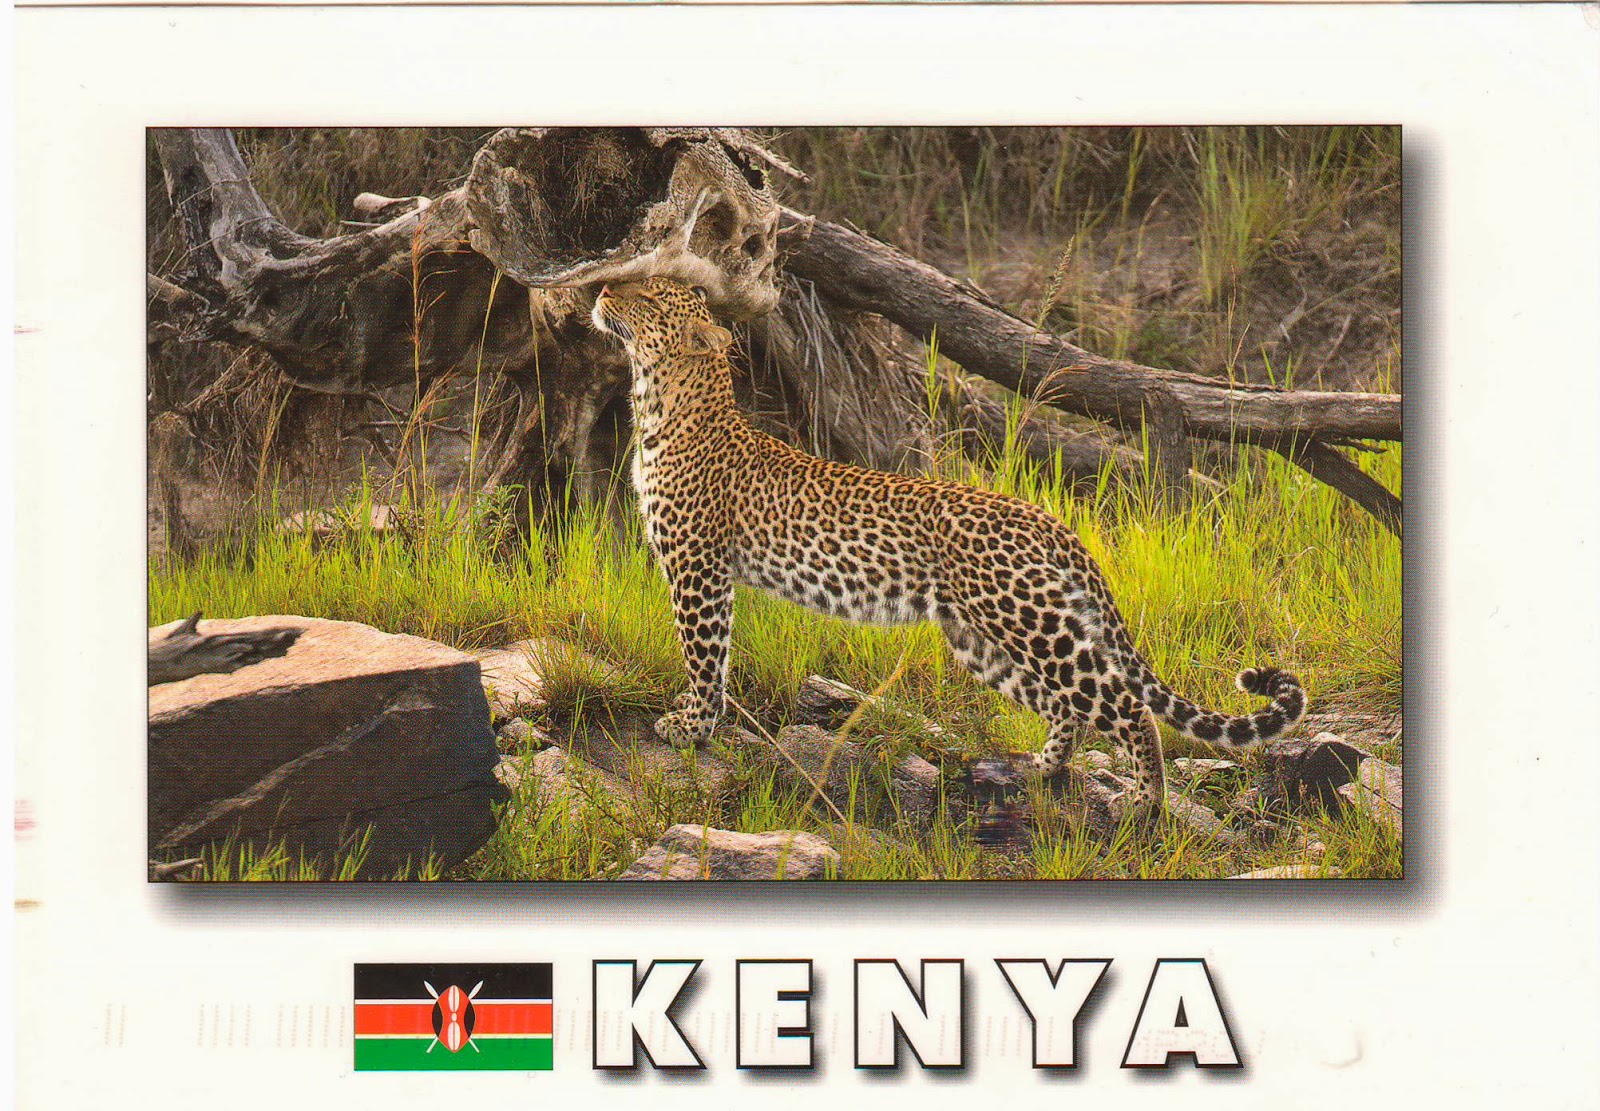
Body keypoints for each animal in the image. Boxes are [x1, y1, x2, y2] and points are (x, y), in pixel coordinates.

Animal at [591, 276, 1305, 810]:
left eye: (647, 297)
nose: (599, 288)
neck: (662, 406)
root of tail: (1046, 519)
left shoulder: (698, 569)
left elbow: (704, 655)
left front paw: (691, 727)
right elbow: (711, 656)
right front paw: (697, 723)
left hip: (1031, 623)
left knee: (1126, 705)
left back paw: (1146, 801)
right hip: (981, 637)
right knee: (1068, 707)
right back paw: (1042, 768)